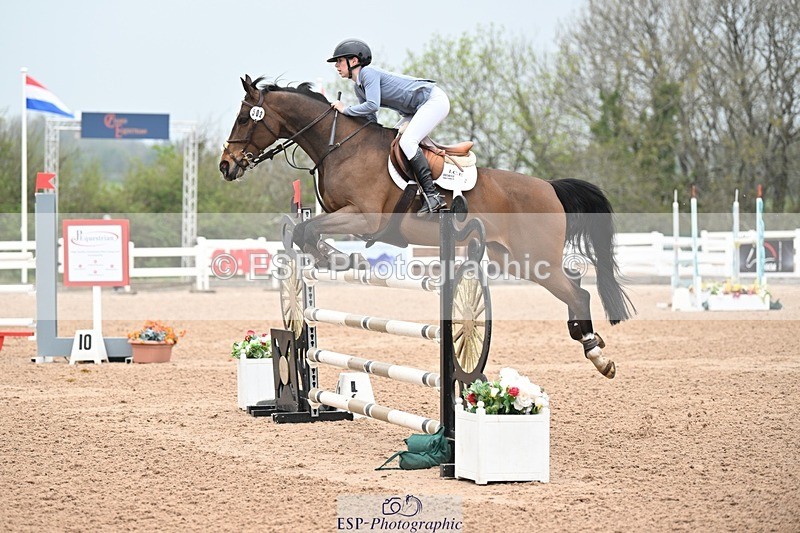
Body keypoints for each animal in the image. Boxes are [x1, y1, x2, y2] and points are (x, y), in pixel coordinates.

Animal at [219, 75, 635, 379]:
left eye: (243, 118)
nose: (226, 165)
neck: (339, 146)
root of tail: (549, 186)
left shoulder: (364, 217)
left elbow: (308, 231)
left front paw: (335, 259)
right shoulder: (343, 214)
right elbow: (304, 231)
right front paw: (330, 258)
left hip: (534, 257)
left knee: (578, 291)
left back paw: (599, 356)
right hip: (516, 260)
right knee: (575, 287)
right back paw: (592, 345)